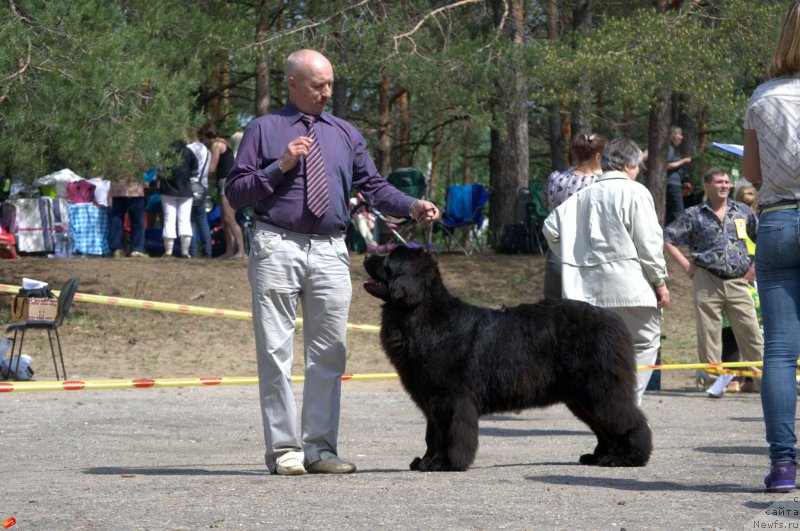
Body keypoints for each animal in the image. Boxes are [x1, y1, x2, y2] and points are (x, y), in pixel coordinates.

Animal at [362, 247, 648, 472]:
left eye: (388, 259)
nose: (366, 255)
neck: (420, 314)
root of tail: (615, 321)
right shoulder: (430, 397)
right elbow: (431, 434)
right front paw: (424, 460)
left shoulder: (449, 398)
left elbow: (446, 432)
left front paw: (442, 463)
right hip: (581, 397)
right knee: (603, 426)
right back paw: (601, 457)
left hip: (599, 388)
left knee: (625, 419)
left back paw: (630, 458)